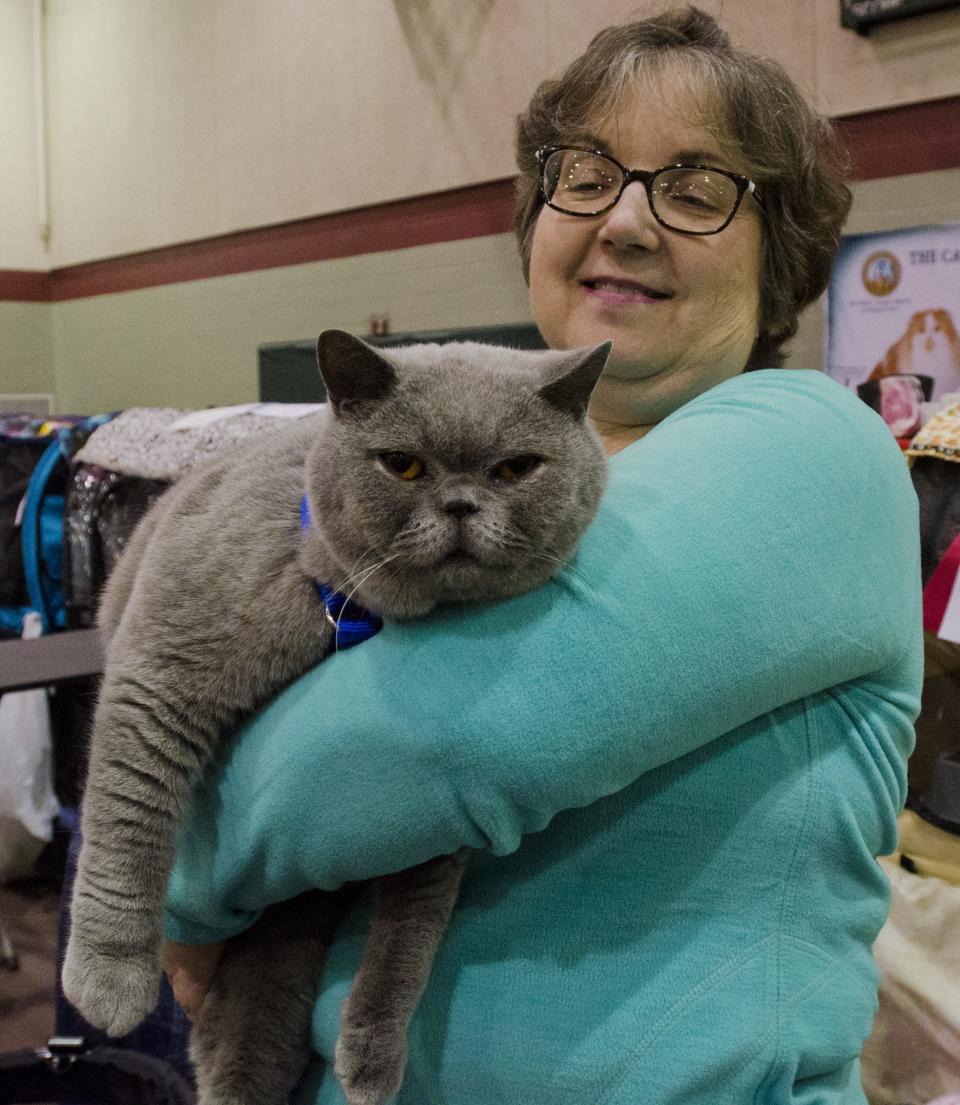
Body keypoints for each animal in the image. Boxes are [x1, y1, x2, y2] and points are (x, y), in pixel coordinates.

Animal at [63, 329, 605, 1105]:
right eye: (403, 464)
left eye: (515, 468)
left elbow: (413, 919)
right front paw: (107, 981)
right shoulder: (157, 677)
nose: (462, 504)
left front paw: (374, 1050)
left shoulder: (432, 812)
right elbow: (128, 819)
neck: (344, 611)